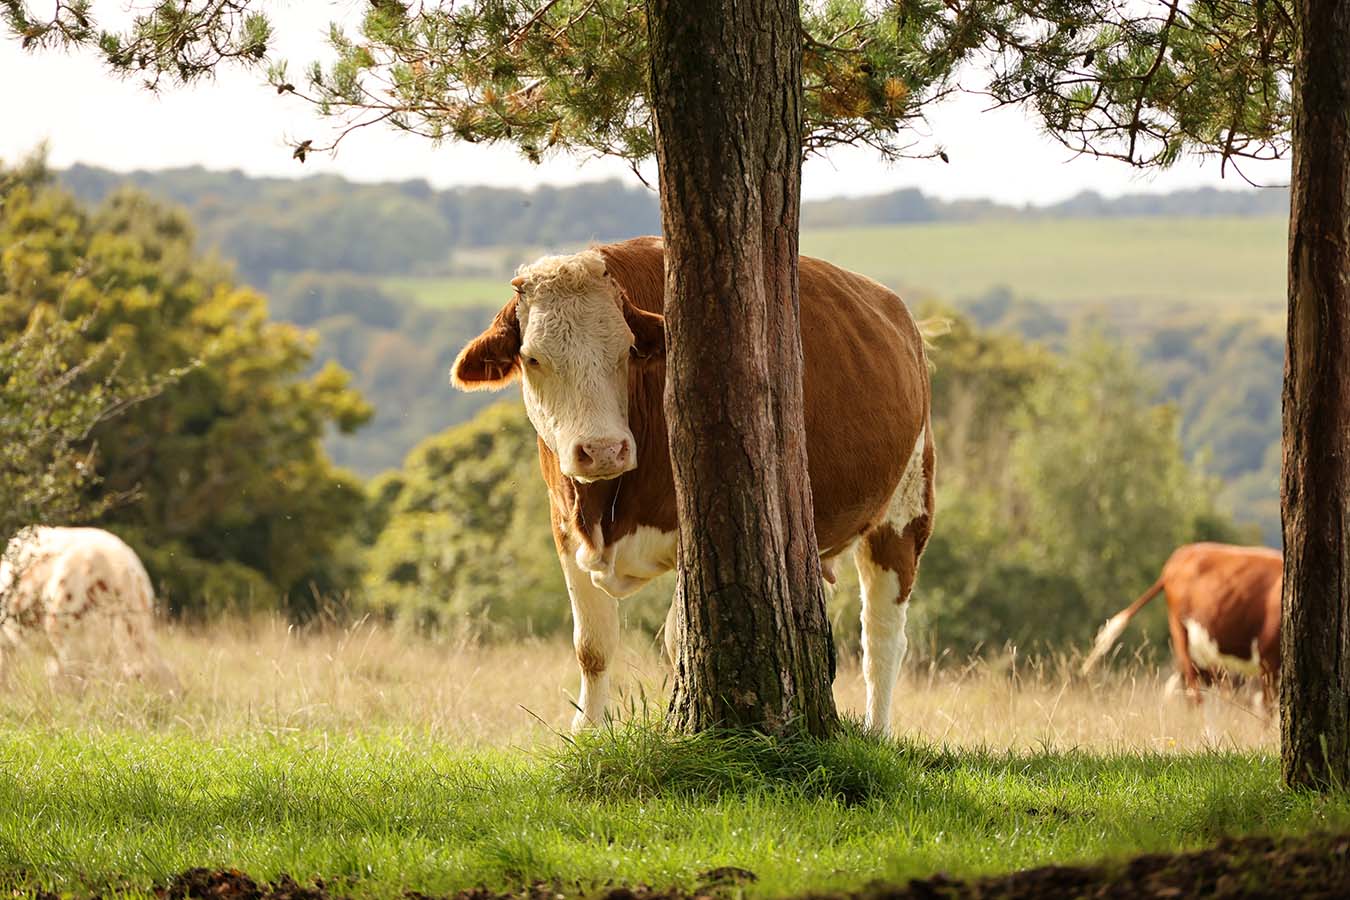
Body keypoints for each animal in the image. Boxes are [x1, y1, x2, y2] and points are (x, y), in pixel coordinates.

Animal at [451, 236, 934, 734]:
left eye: (625, 350)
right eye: (533, 358)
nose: (603, 450)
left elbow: (680, 639)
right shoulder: (565, 528)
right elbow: (593, 647)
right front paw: (586, 733)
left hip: (905, 508)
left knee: (882, 637)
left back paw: (876, 731)